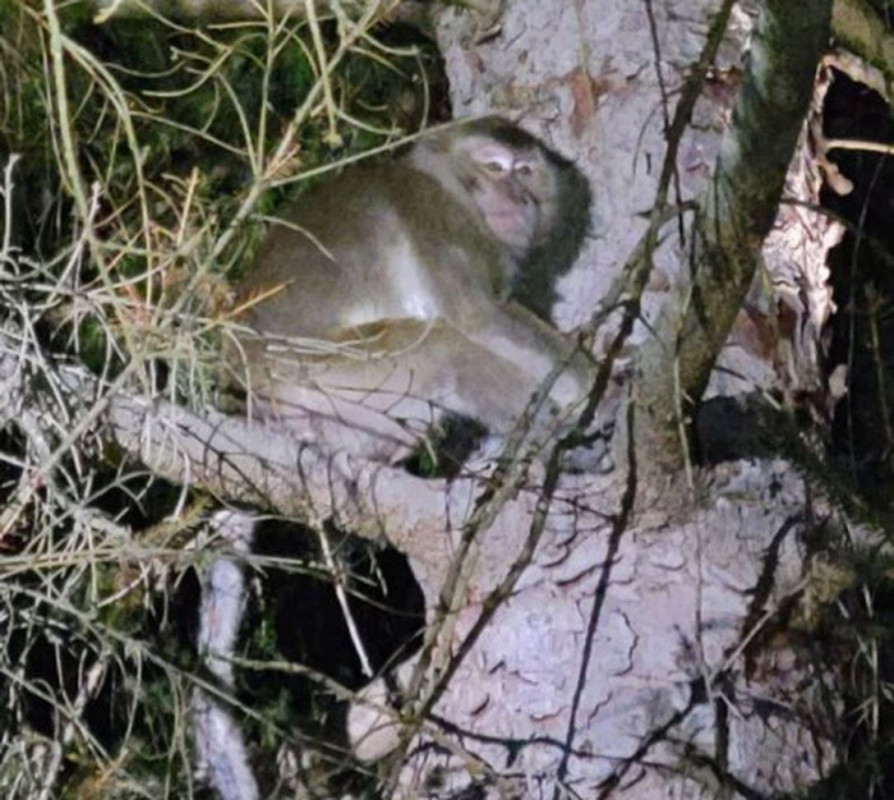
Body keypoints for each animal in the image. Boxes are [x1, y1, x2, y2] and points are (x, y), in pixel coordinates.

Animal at [225, 117, 597, 468]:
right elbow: (478, 318)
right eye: (494, 166)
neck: (448, 186)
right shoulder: (438, 217)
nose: (518, 198)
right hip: (317, 367)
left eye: (525, 171)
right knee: (449, 349)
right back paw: (548, 438)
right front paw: (596, 391)